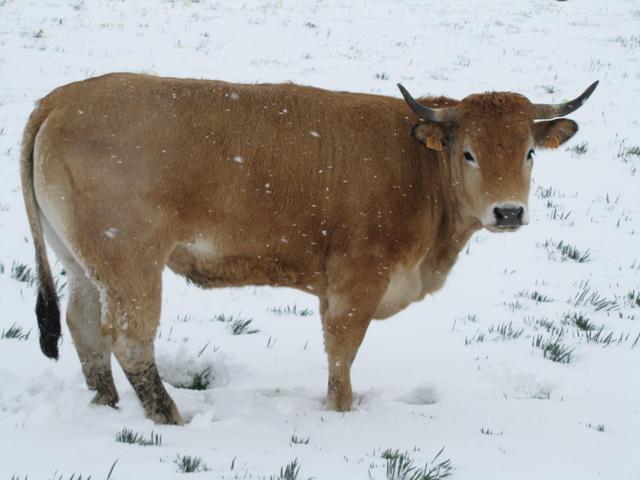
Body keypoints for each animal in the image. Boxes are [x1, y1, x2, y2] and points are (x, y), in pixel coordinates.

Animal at [21, 74, 600, 424]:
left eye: (528, 152)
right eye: (469, 153)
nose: (509, 212)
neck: (418, 166)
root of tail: (60, 98)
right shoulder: (358, 281)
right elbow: (342, 352)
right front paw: (341, 413)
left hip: (83, 263)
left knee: (83, 326)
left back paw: (105, 404)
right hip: (130, 263)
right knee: (129, 338)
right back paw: (170, 417)